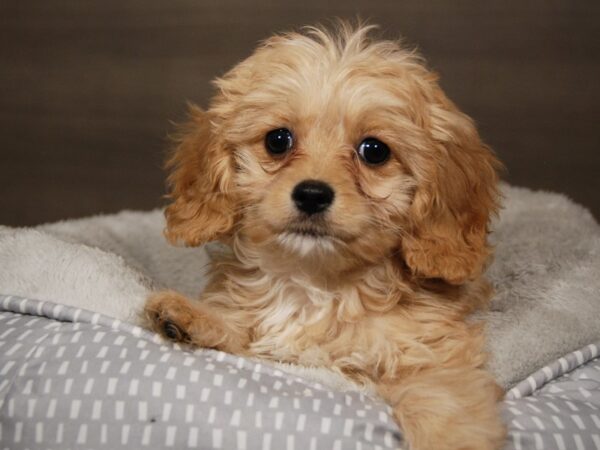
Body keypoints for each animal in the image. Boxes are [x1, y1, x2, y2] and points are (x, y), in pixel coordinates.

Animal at [145, 22, 506, 450]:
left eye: (374, 151)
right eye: (278, 140)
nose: (312, 194)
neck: (316, 285)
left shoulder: (433, 357)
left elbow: (442, 404)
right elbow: (240, 329)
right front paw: (188, 317)